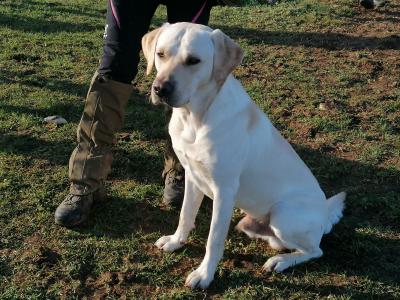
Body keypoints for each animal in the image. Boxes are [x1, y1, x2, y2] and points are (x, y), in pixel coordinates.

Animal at [142, 22, 346, 290]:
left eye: (193, 61)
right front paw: (176, 241)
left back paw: (280, 261)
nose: (160, 89)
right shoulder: (193, 177)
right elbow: (185, 215)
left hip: (284, 213)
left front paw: (204, 274)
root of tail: (324, 213)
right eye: (161, 54)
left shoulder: (224, 190)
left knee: (315, 251)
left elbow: (214, 239)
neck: (194, 118)